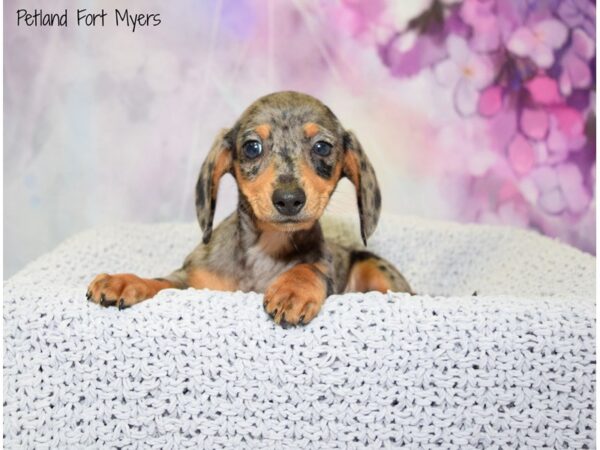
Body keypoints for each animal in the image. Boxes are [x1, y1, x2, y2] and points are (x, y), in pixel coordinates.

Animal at [86, 90, 410, 324]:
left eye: (322, 147)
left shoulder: (326, 268)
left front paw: (293, 288)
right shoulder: (192, 283)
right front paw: (123, 281)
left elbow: (312, 268)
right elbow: (160, 281)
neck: (267, 249)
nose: (289, 199)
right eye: (252, 147)